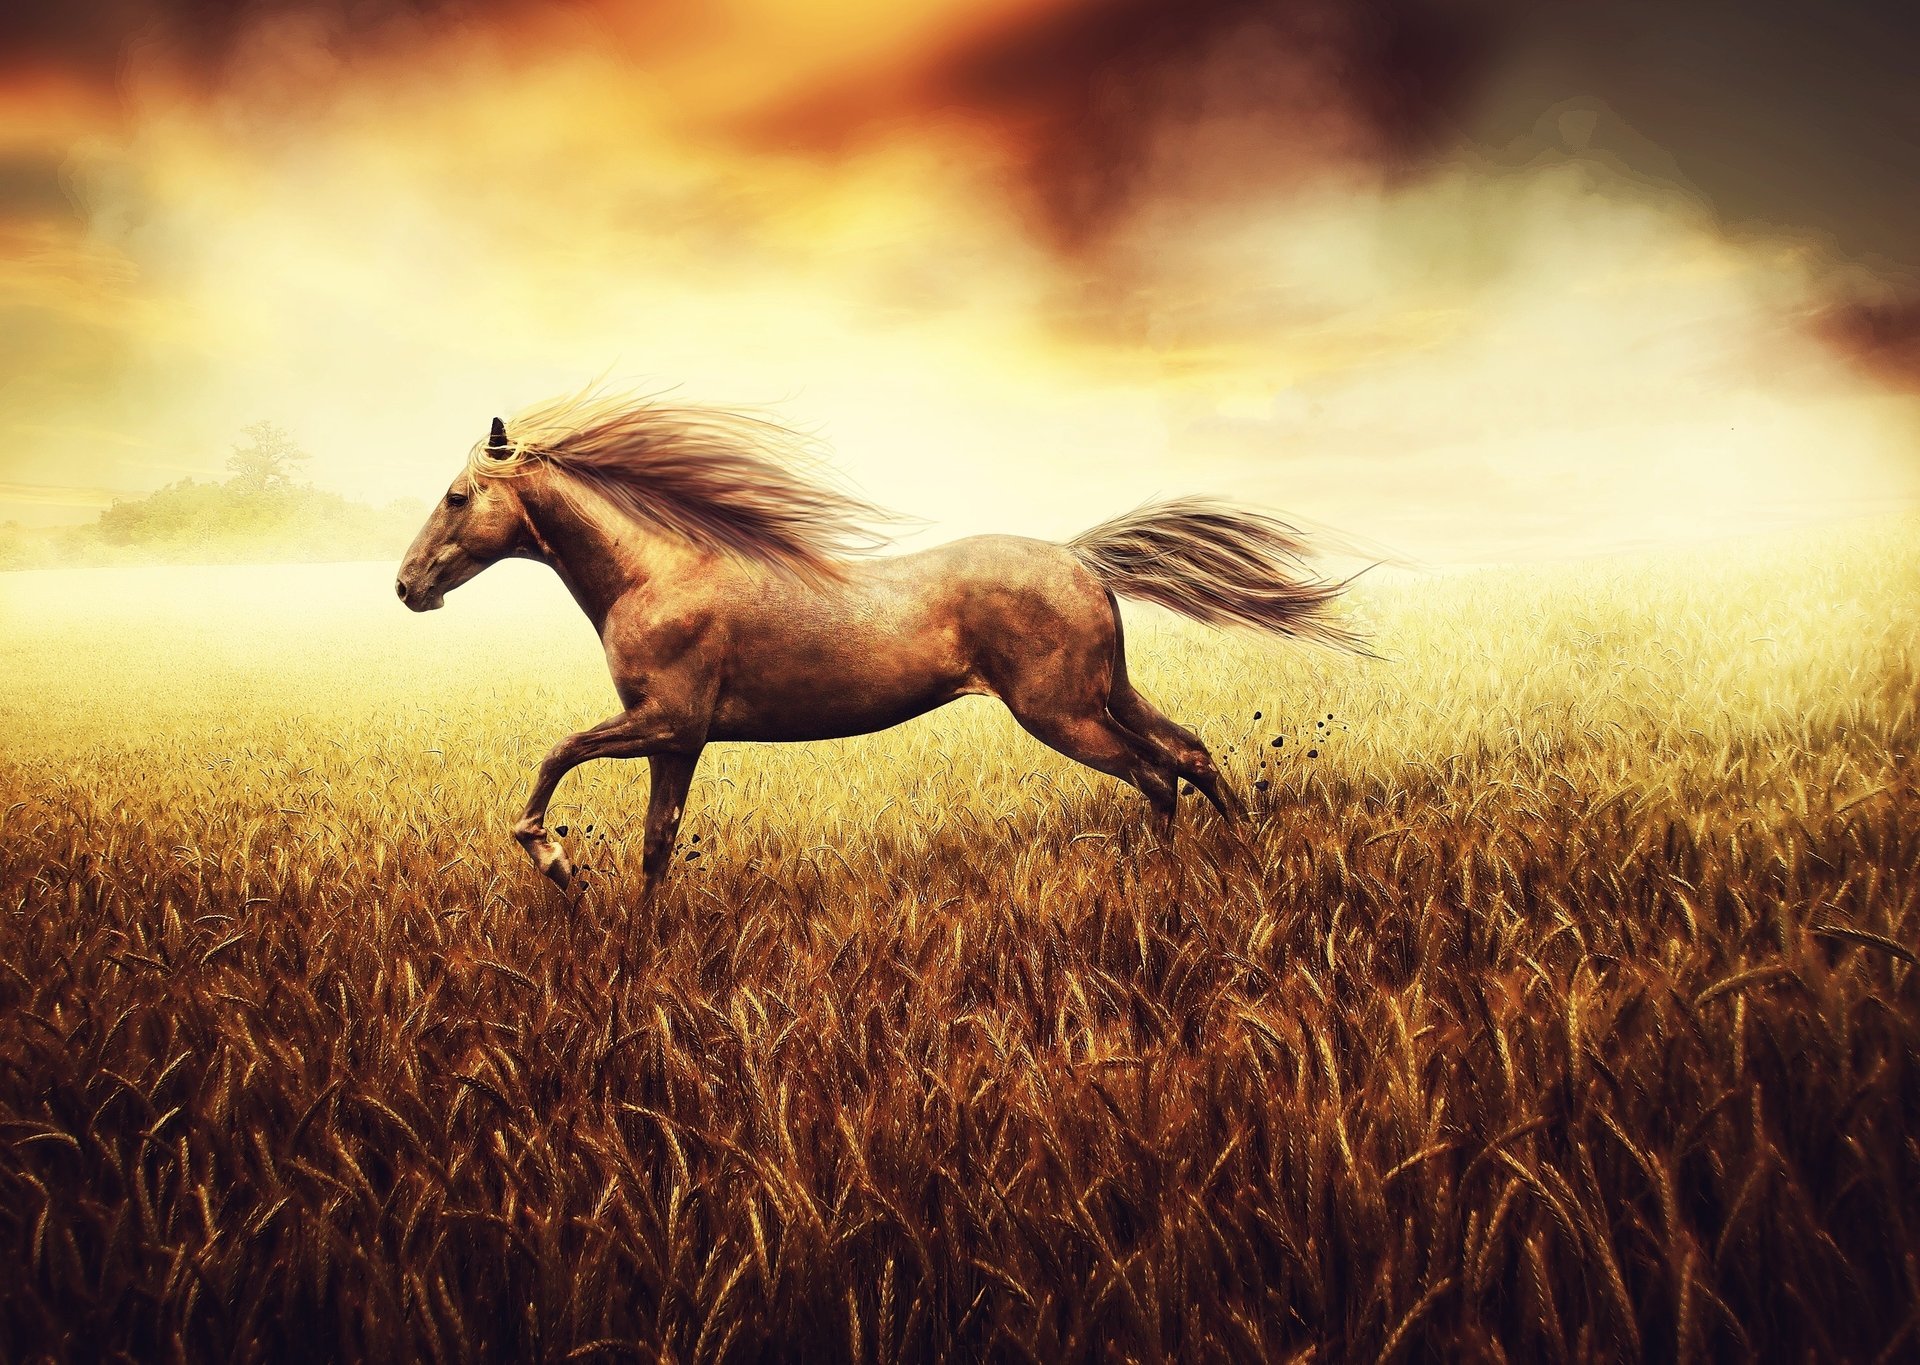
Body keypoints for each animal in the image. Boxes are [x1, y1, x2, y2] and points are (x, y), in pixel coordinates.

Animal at [396, 390, 1367, 891]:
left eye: (455, 495)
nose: (406, 587)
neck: (656, 573)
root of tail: (1080, 557)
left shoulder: (666, 722)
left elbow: (556, 755)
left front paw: (555, 860)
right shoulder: (678, 742)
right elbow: (655, 847)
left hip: (1060, 713)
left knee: (1155, 773)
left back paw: (1167, 884)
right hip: (1106, 692)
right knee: (1191, 751)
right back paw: (1242, 856)